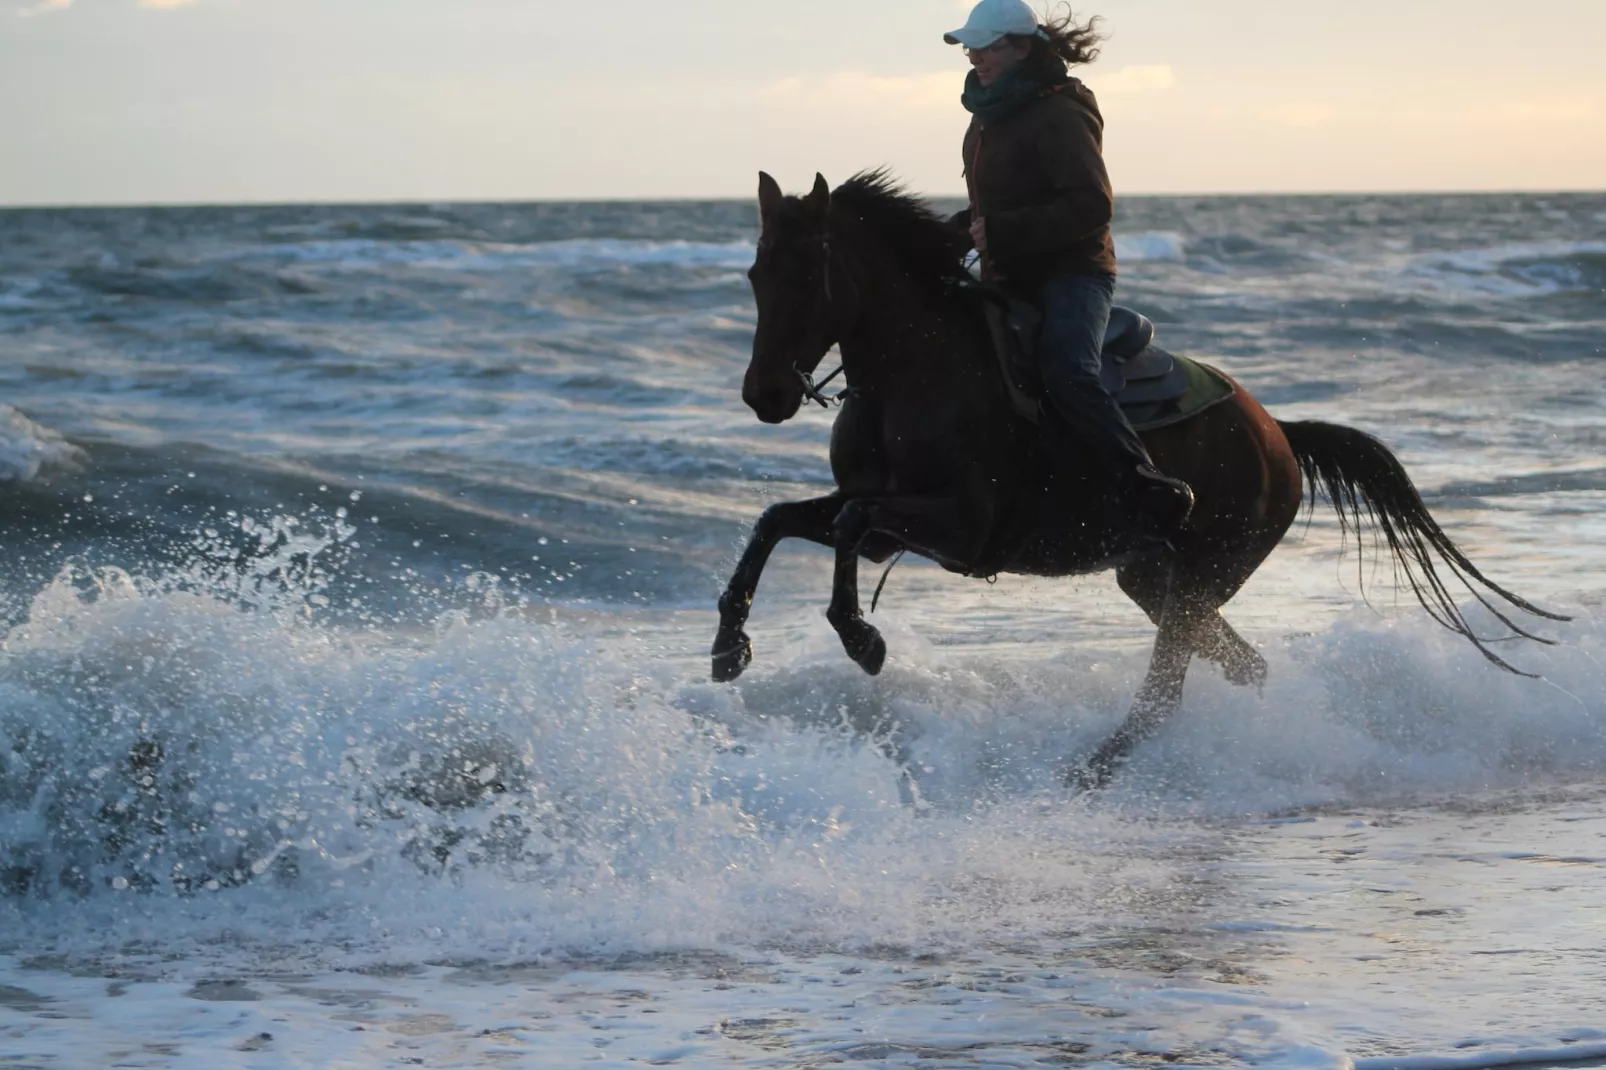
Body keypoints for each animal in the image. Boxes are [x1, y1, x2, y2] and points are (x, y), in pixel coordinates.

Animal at [716, 167, 1567, 784]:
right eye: (755, 275)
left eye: (807, 275)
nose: (764, 394)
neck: (914, 371)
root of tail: (1279, 436)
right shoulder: (887, 523)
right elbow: (781, 521)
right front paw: (729, 643)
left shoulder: (958, 525)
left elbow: (847, 525)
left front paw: (861, 639)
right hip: (1154, 578)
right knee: (1240, 666)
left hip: (1197, 576)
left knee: (1167, 693)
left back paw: (1092, 771)